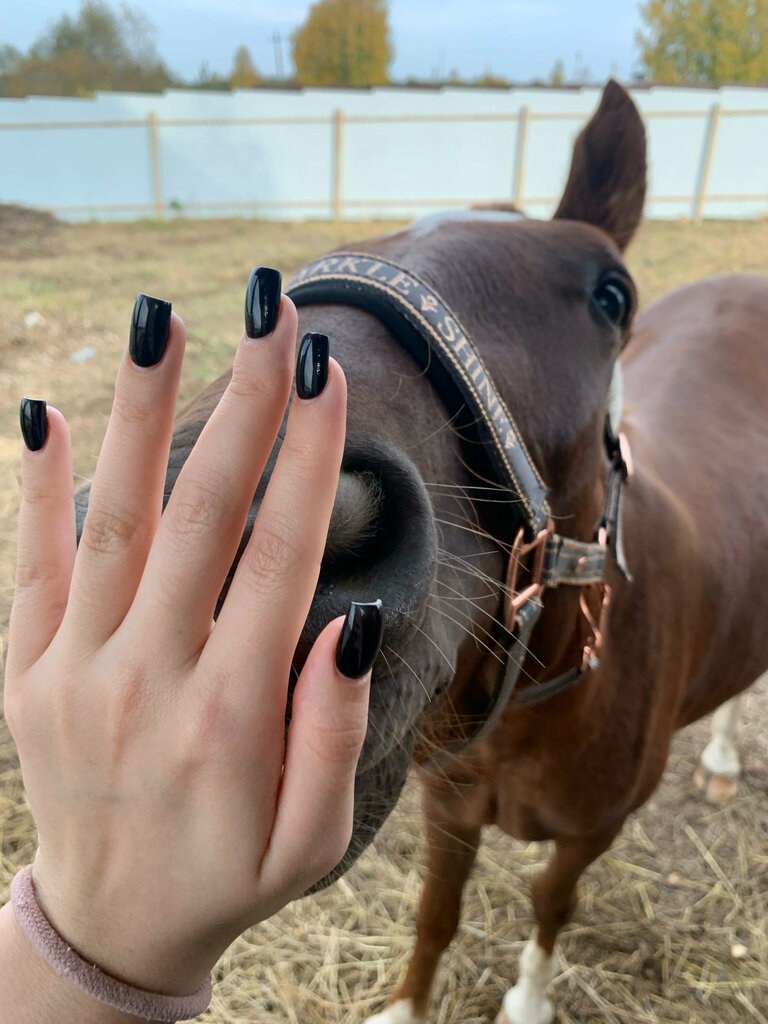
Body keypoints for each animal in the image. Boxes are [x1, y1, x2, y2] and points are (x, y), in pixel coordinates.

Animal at [74, 81, 768, 1023]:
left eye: (613, 296)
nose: (232, 535)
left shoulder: (592, 833)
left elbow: (551, 903)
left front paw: (528, 1001)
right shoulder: (447, 805)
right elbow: (437, 912)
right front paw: (407, 1006)